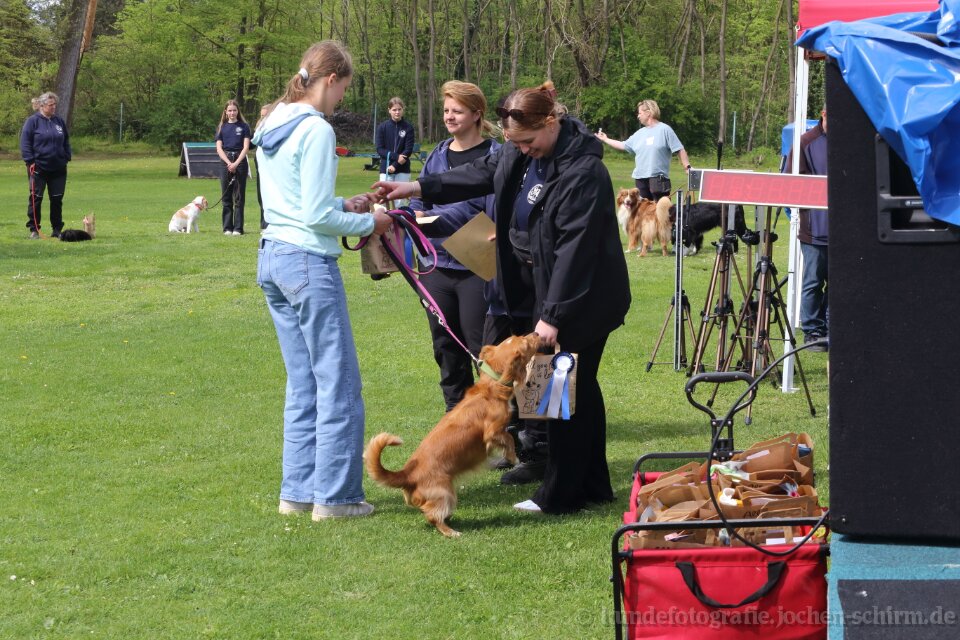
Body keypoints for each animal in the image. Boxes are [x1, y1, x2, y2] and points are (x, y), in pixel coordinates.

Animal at [364, 333, 541, 537]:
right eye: (526, 342)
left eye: (518, 336)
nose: (537, 334)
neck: (491, 386)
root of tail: (407, 474)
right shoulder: (493, 431)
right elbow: (509, 438)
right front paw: (513, 458)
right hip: (445, 493)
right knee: (432, 515)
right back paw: (451, 531)